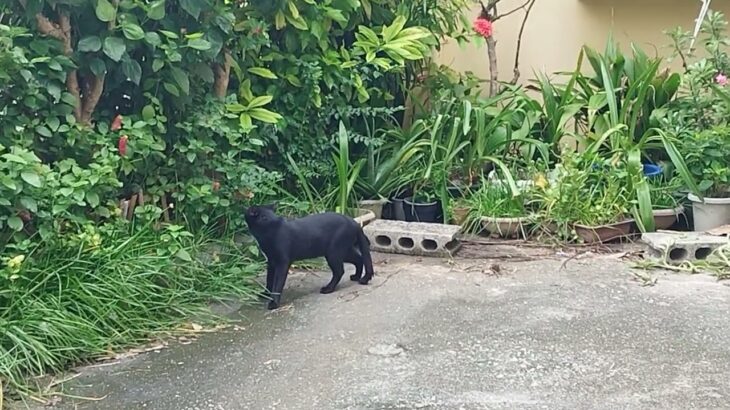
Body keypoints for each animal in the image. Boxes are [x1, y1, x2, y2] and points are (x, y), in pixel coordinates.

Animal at [243, 207, 372, 310]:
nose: (246, 209)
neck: (270, 228)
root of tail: (354, 222)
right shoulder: (271, 262)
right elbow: (269, 280)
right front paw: (265, 293)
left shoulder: (282, 262)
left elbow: (277, 283)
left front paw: (273, 303)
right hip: (343, 251)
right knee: (359, 259)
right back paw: (356, 277)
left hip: (334, 253)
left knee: (340, 271)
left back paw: (328, 289)